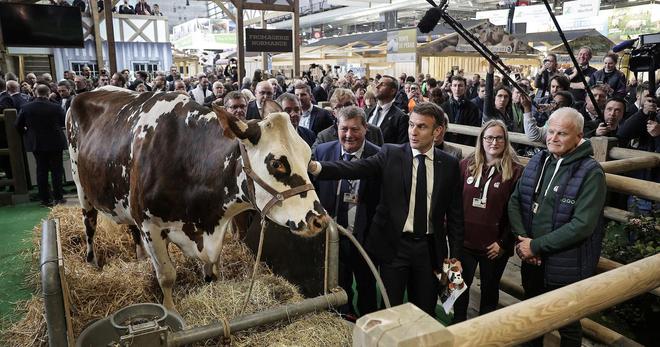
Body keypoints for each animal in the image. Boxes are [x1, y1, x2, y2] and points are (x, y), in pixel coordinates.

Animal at [65, 85, 328, 312]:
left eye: (308, 155)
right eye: (276, 163)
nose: (320, 220)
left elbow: (212, 270)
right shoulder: (151, 226)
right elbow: (167, 276)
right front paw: (171, 311)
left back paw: (139, 256)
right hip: (81, 187)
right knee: (89, 224)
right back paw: (92, 263)